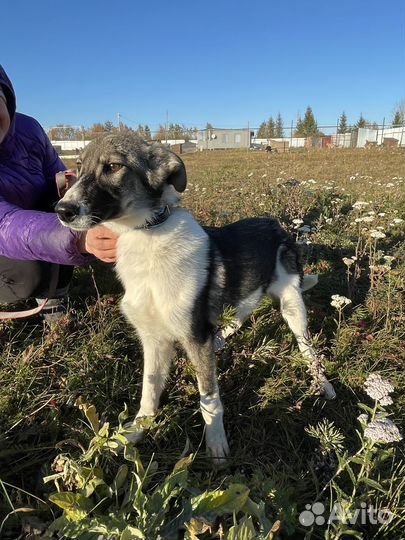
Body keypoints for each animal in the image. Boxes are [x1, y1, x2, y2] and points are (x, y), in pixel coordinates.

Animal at [56, 133, 334, 462]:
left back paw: (323, 383)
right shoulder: (154, 340)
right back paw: (224, 336)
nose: (61, 211)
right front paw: (136, 432)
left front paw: (216, 444)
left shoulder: (195, 338)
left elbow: (209, 399)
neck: (146, 237)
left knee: (307, 346)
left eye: (113, 167)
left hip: (292, 303)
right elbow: (148, 393)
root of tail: (276, 224)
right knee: (242, 311)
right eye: (78, 166)